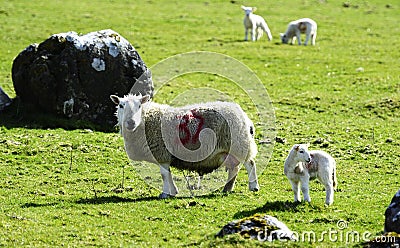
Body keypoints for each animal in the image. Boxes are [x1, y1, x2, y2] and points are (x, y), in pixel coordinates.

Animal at [110, 94, 260, 199]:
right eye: (121, 106)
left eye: (139, 106)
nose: (130, 122)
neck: (146, 120)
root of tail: (244, 116)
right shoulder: (165, 155)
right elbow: (168, 174)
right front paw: (173, 191)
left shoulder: (161, 153)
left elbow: (164, 175)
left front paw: (165, 193)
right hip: (230, 149)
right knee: (234, 167)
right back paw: (227, 188)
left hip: (240, 144)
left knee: (250, 163)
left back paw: (254, 186)